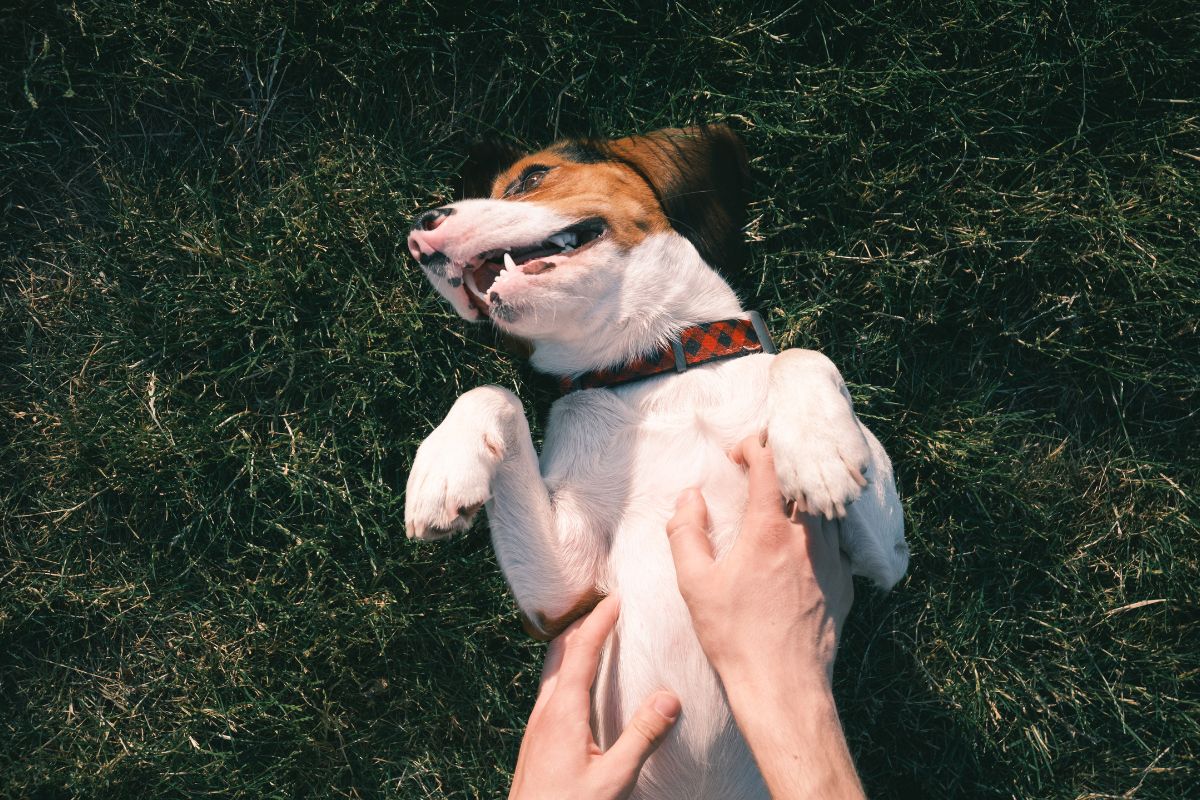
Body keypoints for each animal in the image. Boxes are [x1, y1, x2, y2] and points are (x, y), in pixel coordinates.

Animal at [403, 126, 907, 800]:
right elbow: (493, 392)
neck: (655, 368)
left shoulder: (886, 562)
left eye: (530, 177)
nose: (419, 229)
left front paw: (818, 449)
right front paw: (440, 469)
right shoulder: (565, 599)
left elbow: (801, 353)